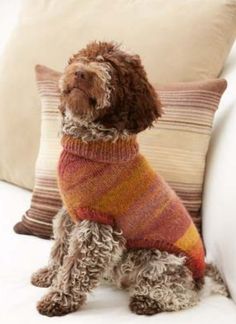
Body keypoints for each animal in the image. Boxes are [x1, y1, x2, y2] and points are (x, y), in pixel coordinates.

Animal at [30, 41, 227, 316]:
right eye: (83, 58)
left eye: (112, 68)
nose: (81, 72)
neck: (94, 142)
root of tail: (201, 279)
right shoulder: (71, 213)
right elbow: (61, 248)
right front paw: (49, 275)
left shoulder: (98, 227)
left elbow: (76, 267)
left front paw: (58, 299)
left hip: (158, 257)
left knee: (181, 294)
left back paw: (147, 300)